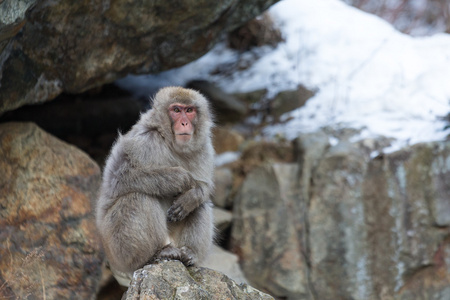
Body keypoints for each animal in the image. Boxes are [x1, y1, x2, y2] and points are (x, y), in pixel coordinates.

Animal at [96, 86, 215, 284]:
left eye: (189, 110)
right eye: (176, 110)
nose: (184, 123)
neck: (170, 142)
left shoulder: (205, 148)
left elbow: (204, 187)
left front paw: (192, 195)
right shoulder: (143, 142)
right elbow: (118, 179)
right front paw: (180, 178)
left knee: (201, 205)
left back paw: (190, 253)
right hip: (116, 250)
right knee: (137, 197)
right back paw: (156, 253)